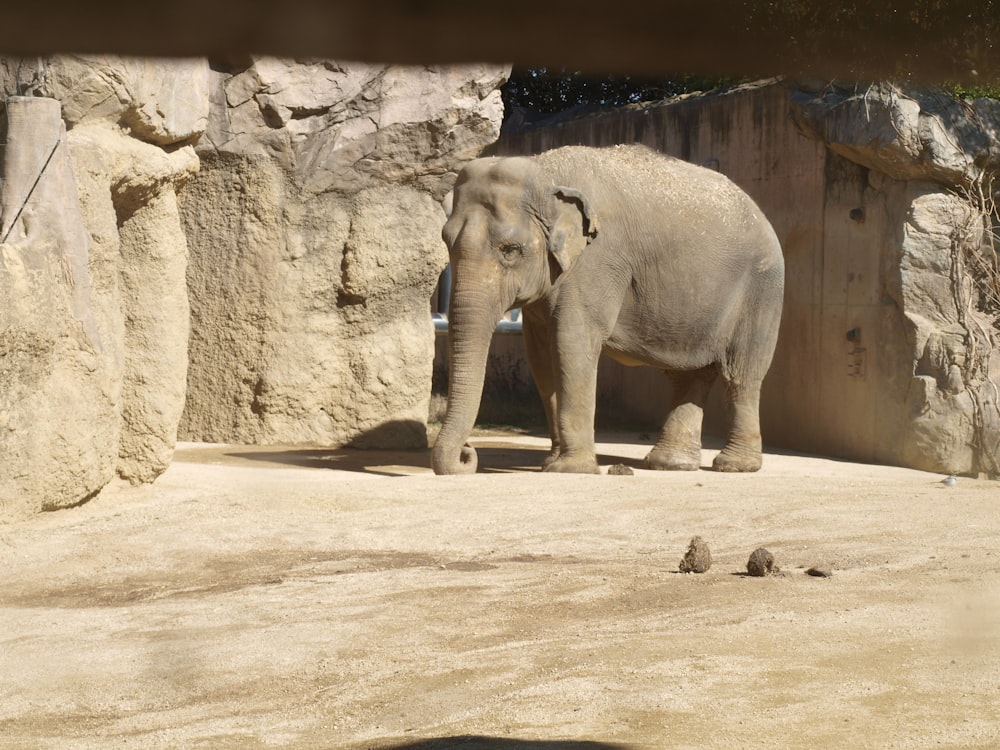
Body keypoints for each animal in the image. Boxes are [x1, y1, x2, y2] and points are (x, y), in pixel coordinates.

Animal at [434, 142, 784, 476]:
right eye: (446, 241)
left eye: (510, 250)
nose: (467, 454)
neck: (545, 169)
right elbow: (541, 354)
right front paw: (553, 463)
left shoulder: (598, 259)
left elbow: (570, 342)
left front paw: (569, 469)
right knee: (688, 375)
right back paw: (669, 465)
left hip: (762, 288)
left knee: (741, 375)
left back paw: (734, 466)